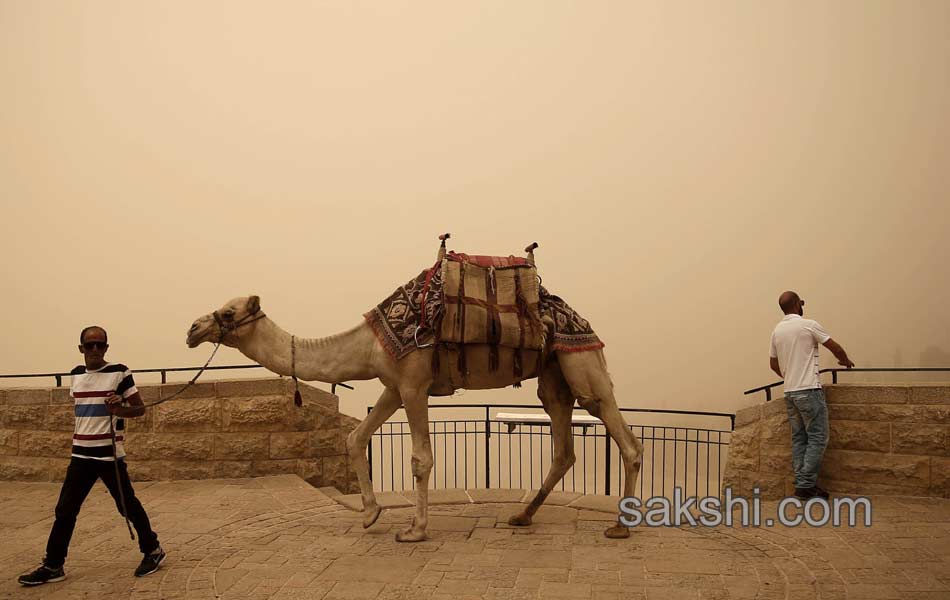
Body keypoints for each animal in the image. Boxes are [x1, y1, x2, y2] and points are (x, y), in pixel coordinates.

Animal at [186, 260, 648, 540]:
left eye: (228, 313)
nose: (192, 329)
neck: (369, 343)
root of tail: (584, 323)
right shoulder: (392, 386)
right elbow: (356, 437)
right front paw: (370, 513)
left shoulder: (413, 384)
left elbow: (420, 458)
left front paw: (415, 529)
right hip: (553, 374)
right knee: (563, 445)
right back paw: (522, 516)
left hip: (582, 361)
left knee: (622, 434)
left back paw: (621, 526)